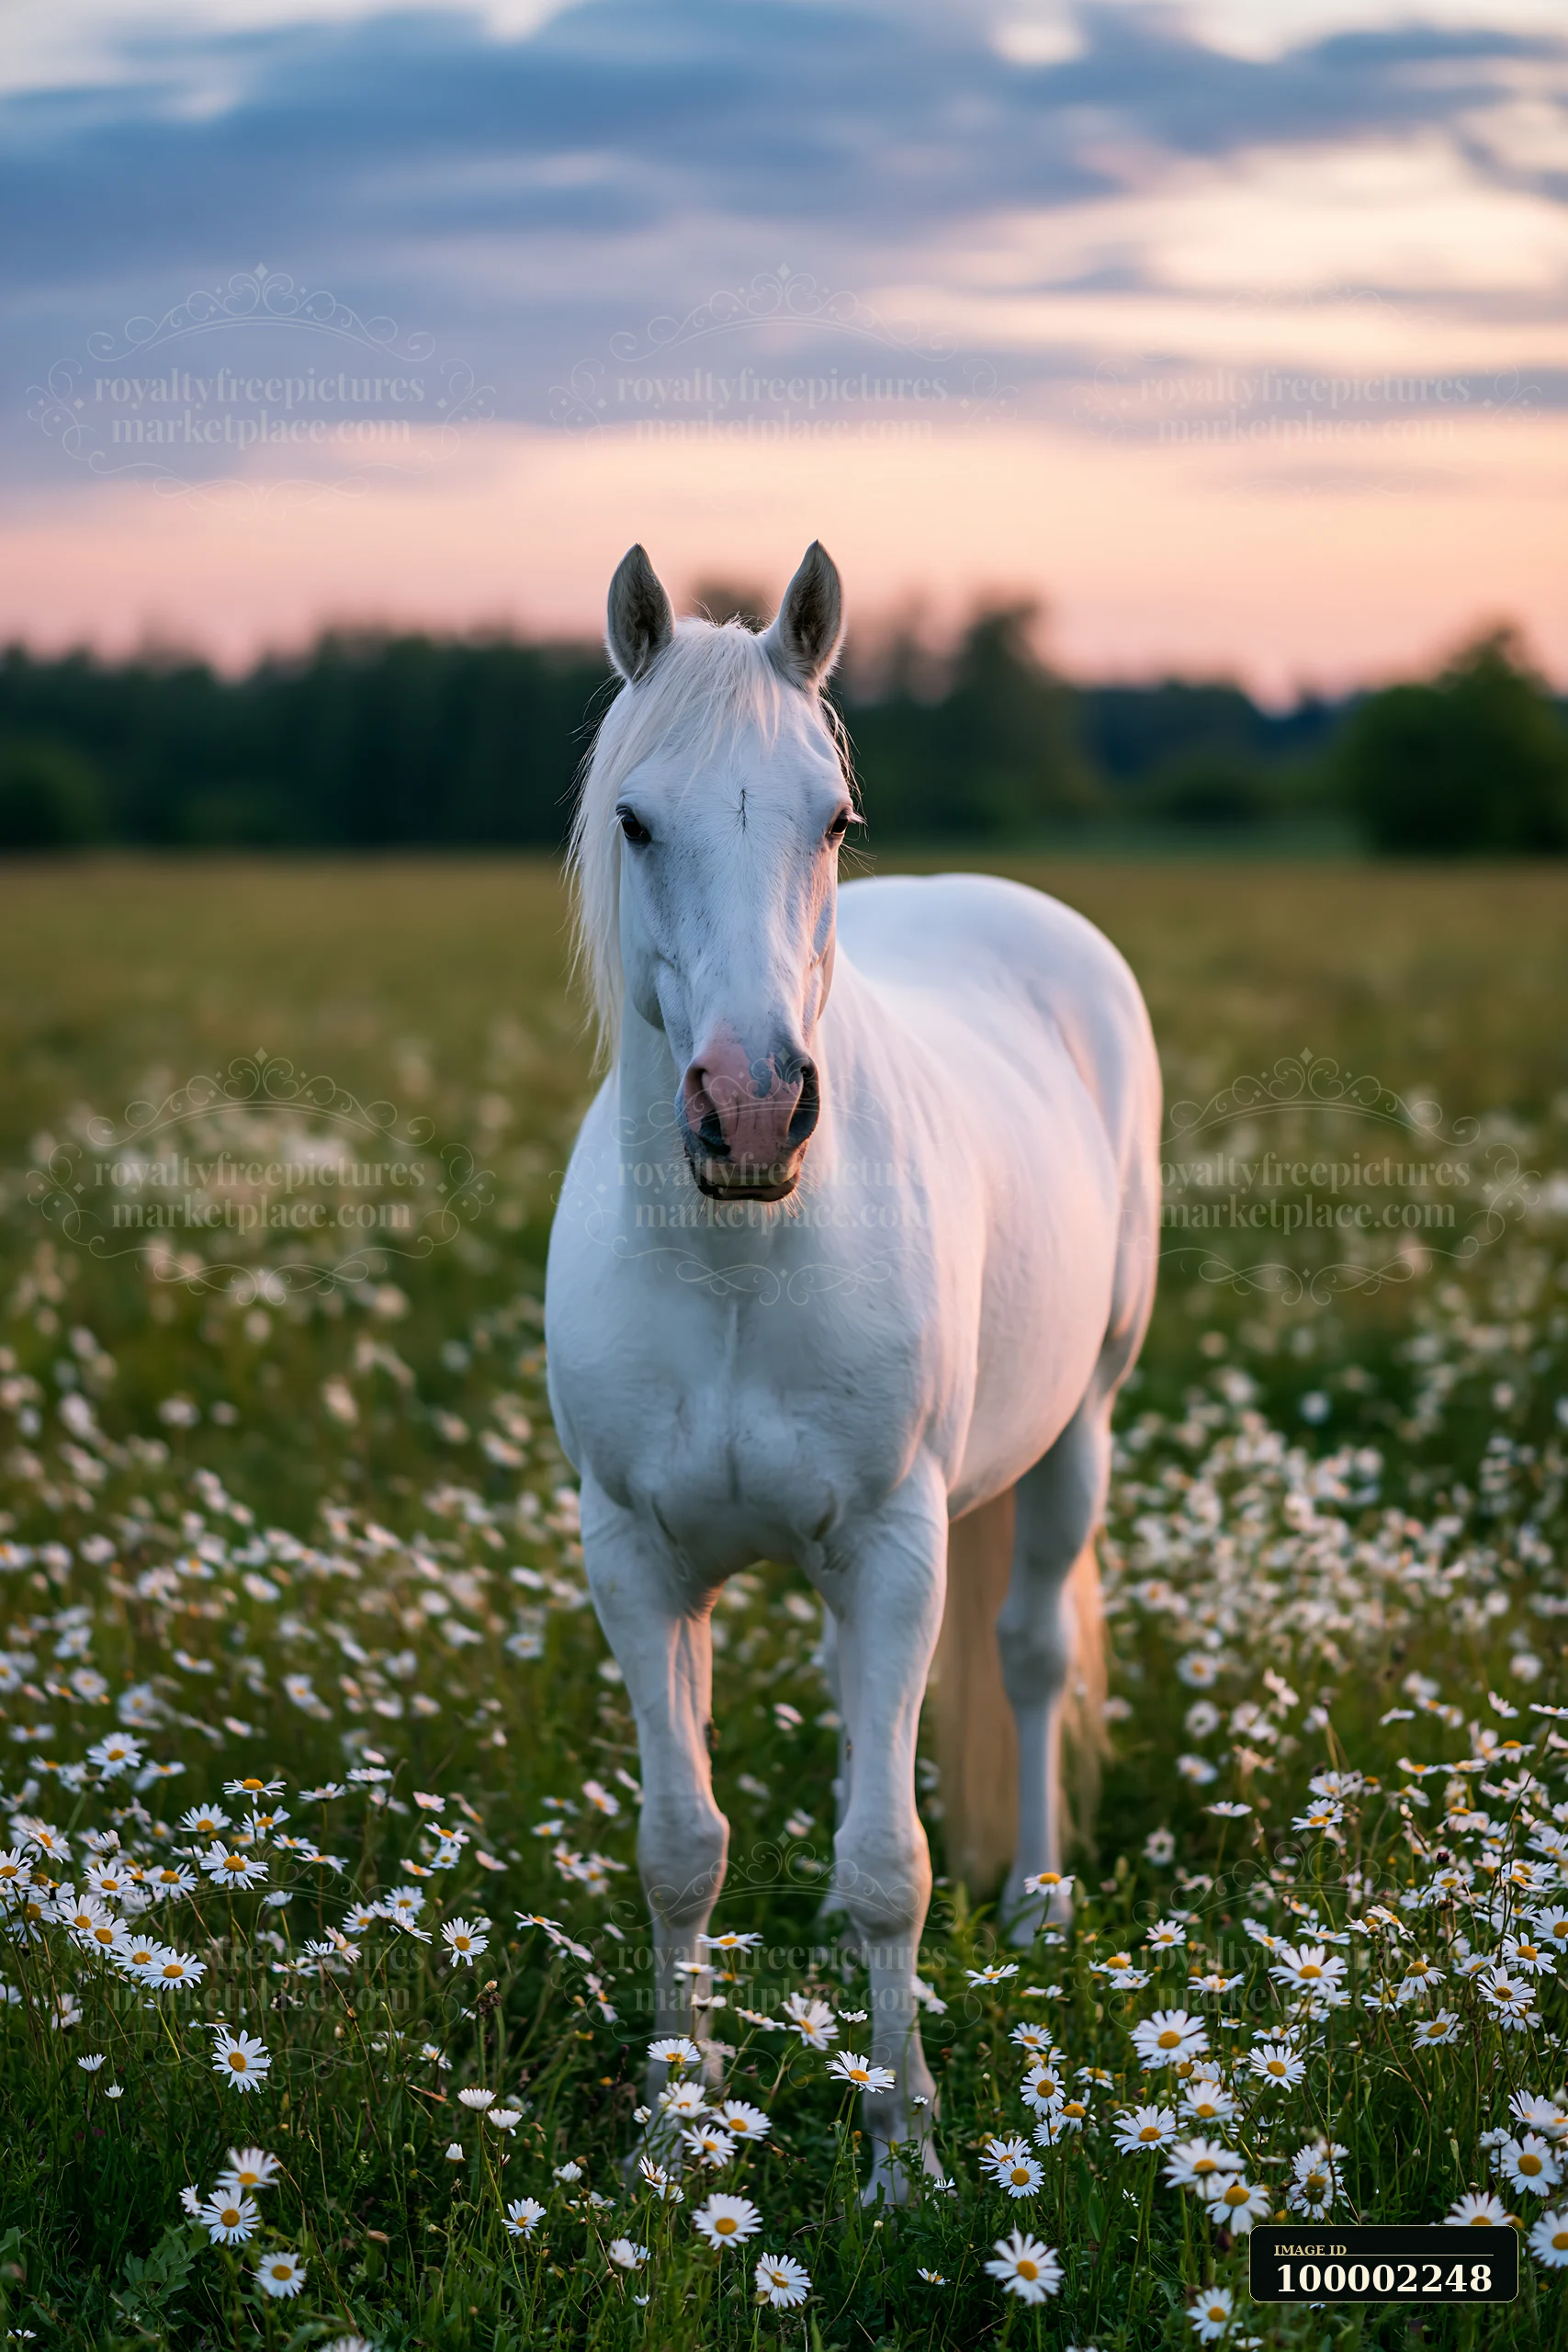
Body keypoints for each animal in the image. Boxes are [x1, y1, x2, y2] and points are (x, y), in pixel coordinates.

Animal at [544, 541, 1161, 2202]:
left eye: (832, 820)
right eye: (636, 819)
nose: (752, 1109)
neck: (736, 1263)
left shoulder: (894, 1544)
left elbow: (895, 1864)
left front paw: (905, 2162)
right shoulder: (635, 1560)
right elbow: (677, 1849)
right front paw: (670, 2138)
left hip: (1076, 1432)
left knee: (1027, 1656)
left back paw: (1036, 1903)